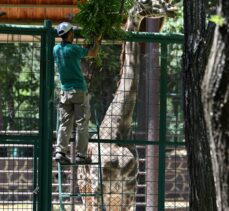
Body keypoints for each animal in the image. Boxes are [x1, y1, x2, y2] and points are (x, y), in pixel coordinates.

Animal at [76, 0, 176, 210]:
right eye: (146, 2)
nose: (171, 8)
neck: (119, 128)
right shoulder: (98, 187)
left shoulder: (130, 189)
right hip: (84, 189)